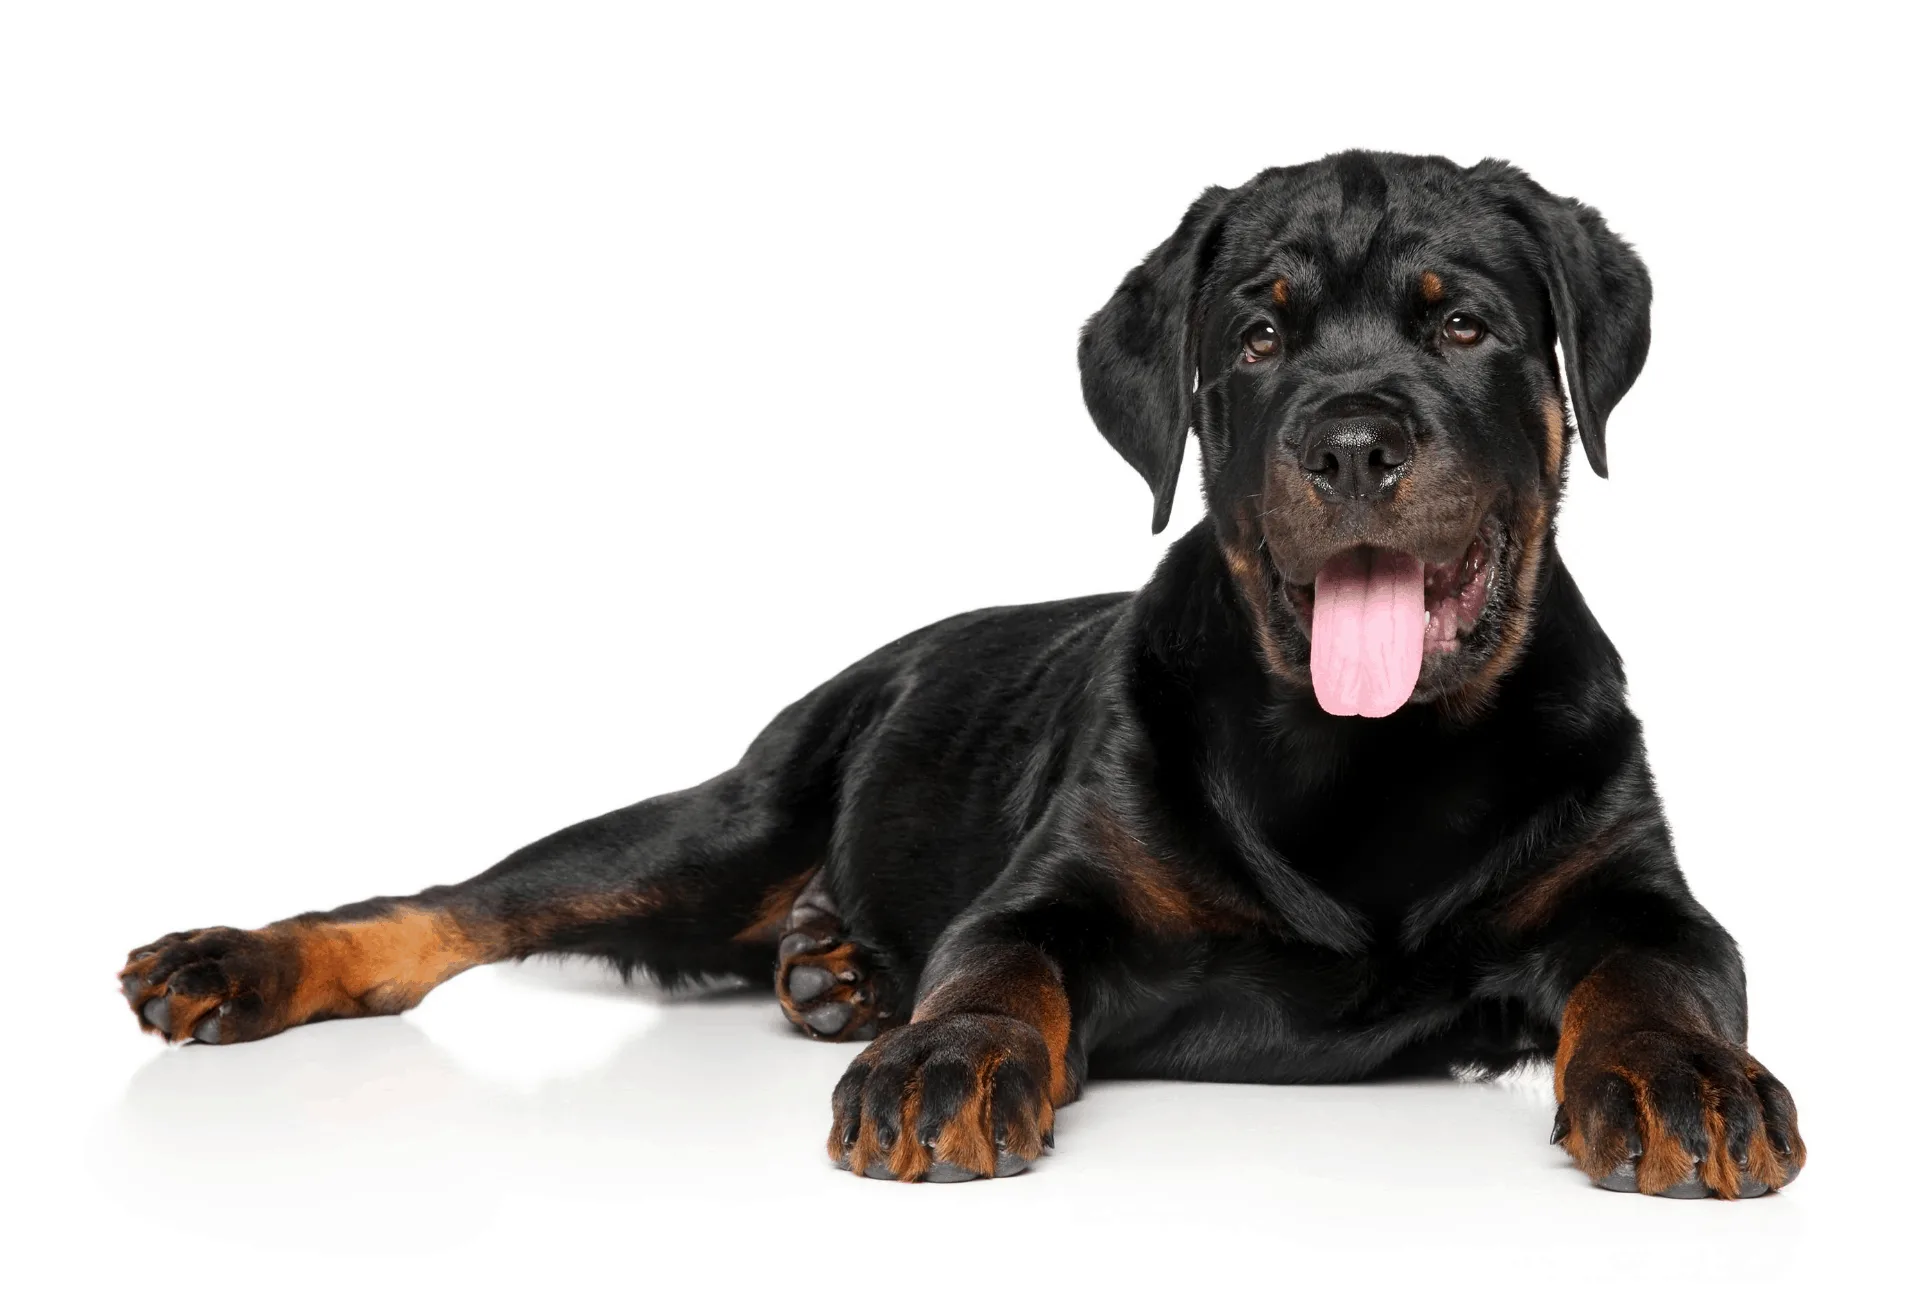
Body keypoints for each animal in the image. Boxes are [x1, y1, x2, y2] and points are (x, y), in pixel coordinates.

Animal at [120, 151, 1797, 1198]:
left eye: (1467, 328)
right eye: (1258, 336)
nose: (1352, 443)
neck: (1361, 763)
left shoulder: (1640, 895)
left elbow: (1659, 978)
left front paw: (1682, 1081)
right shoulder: (1057, 886)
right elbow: (1000, 964)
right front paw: (946, 1057)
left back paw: (834, 967)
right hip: (729, 811)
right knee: (457, 905)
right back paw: (239, 962)